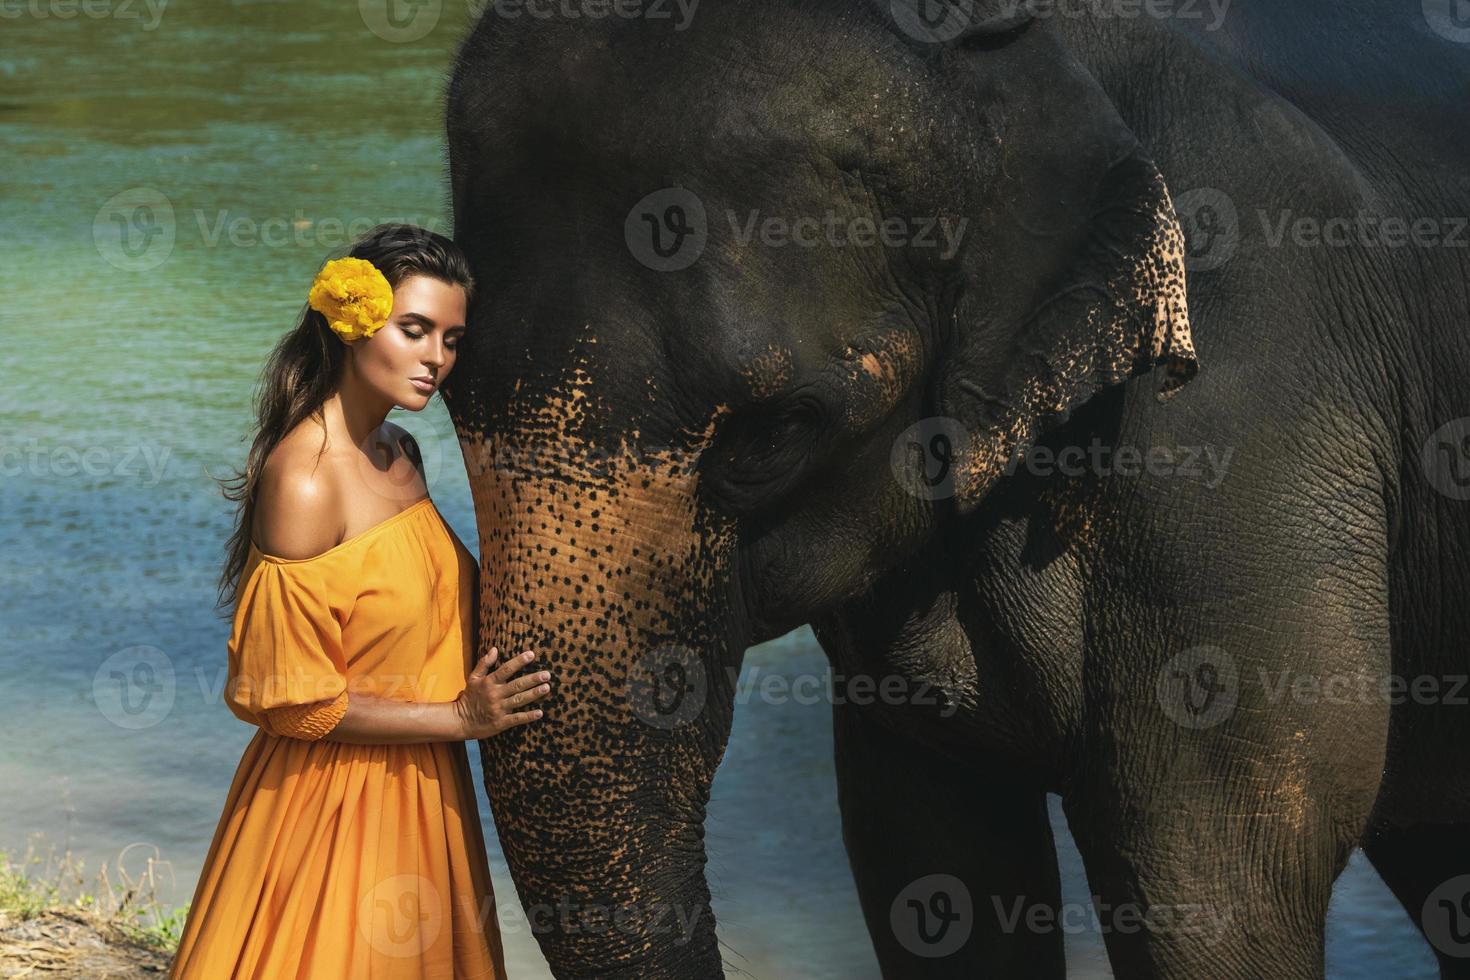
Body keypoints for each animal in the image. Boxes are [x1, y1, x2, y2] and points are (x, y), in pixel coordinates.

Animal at [441, 0, 1470, 975]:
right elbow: (933, 858)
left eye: (772, 434)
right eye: (446, 389)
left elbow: (1216, 886)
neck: (979, 57)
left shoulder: (1237, 416)